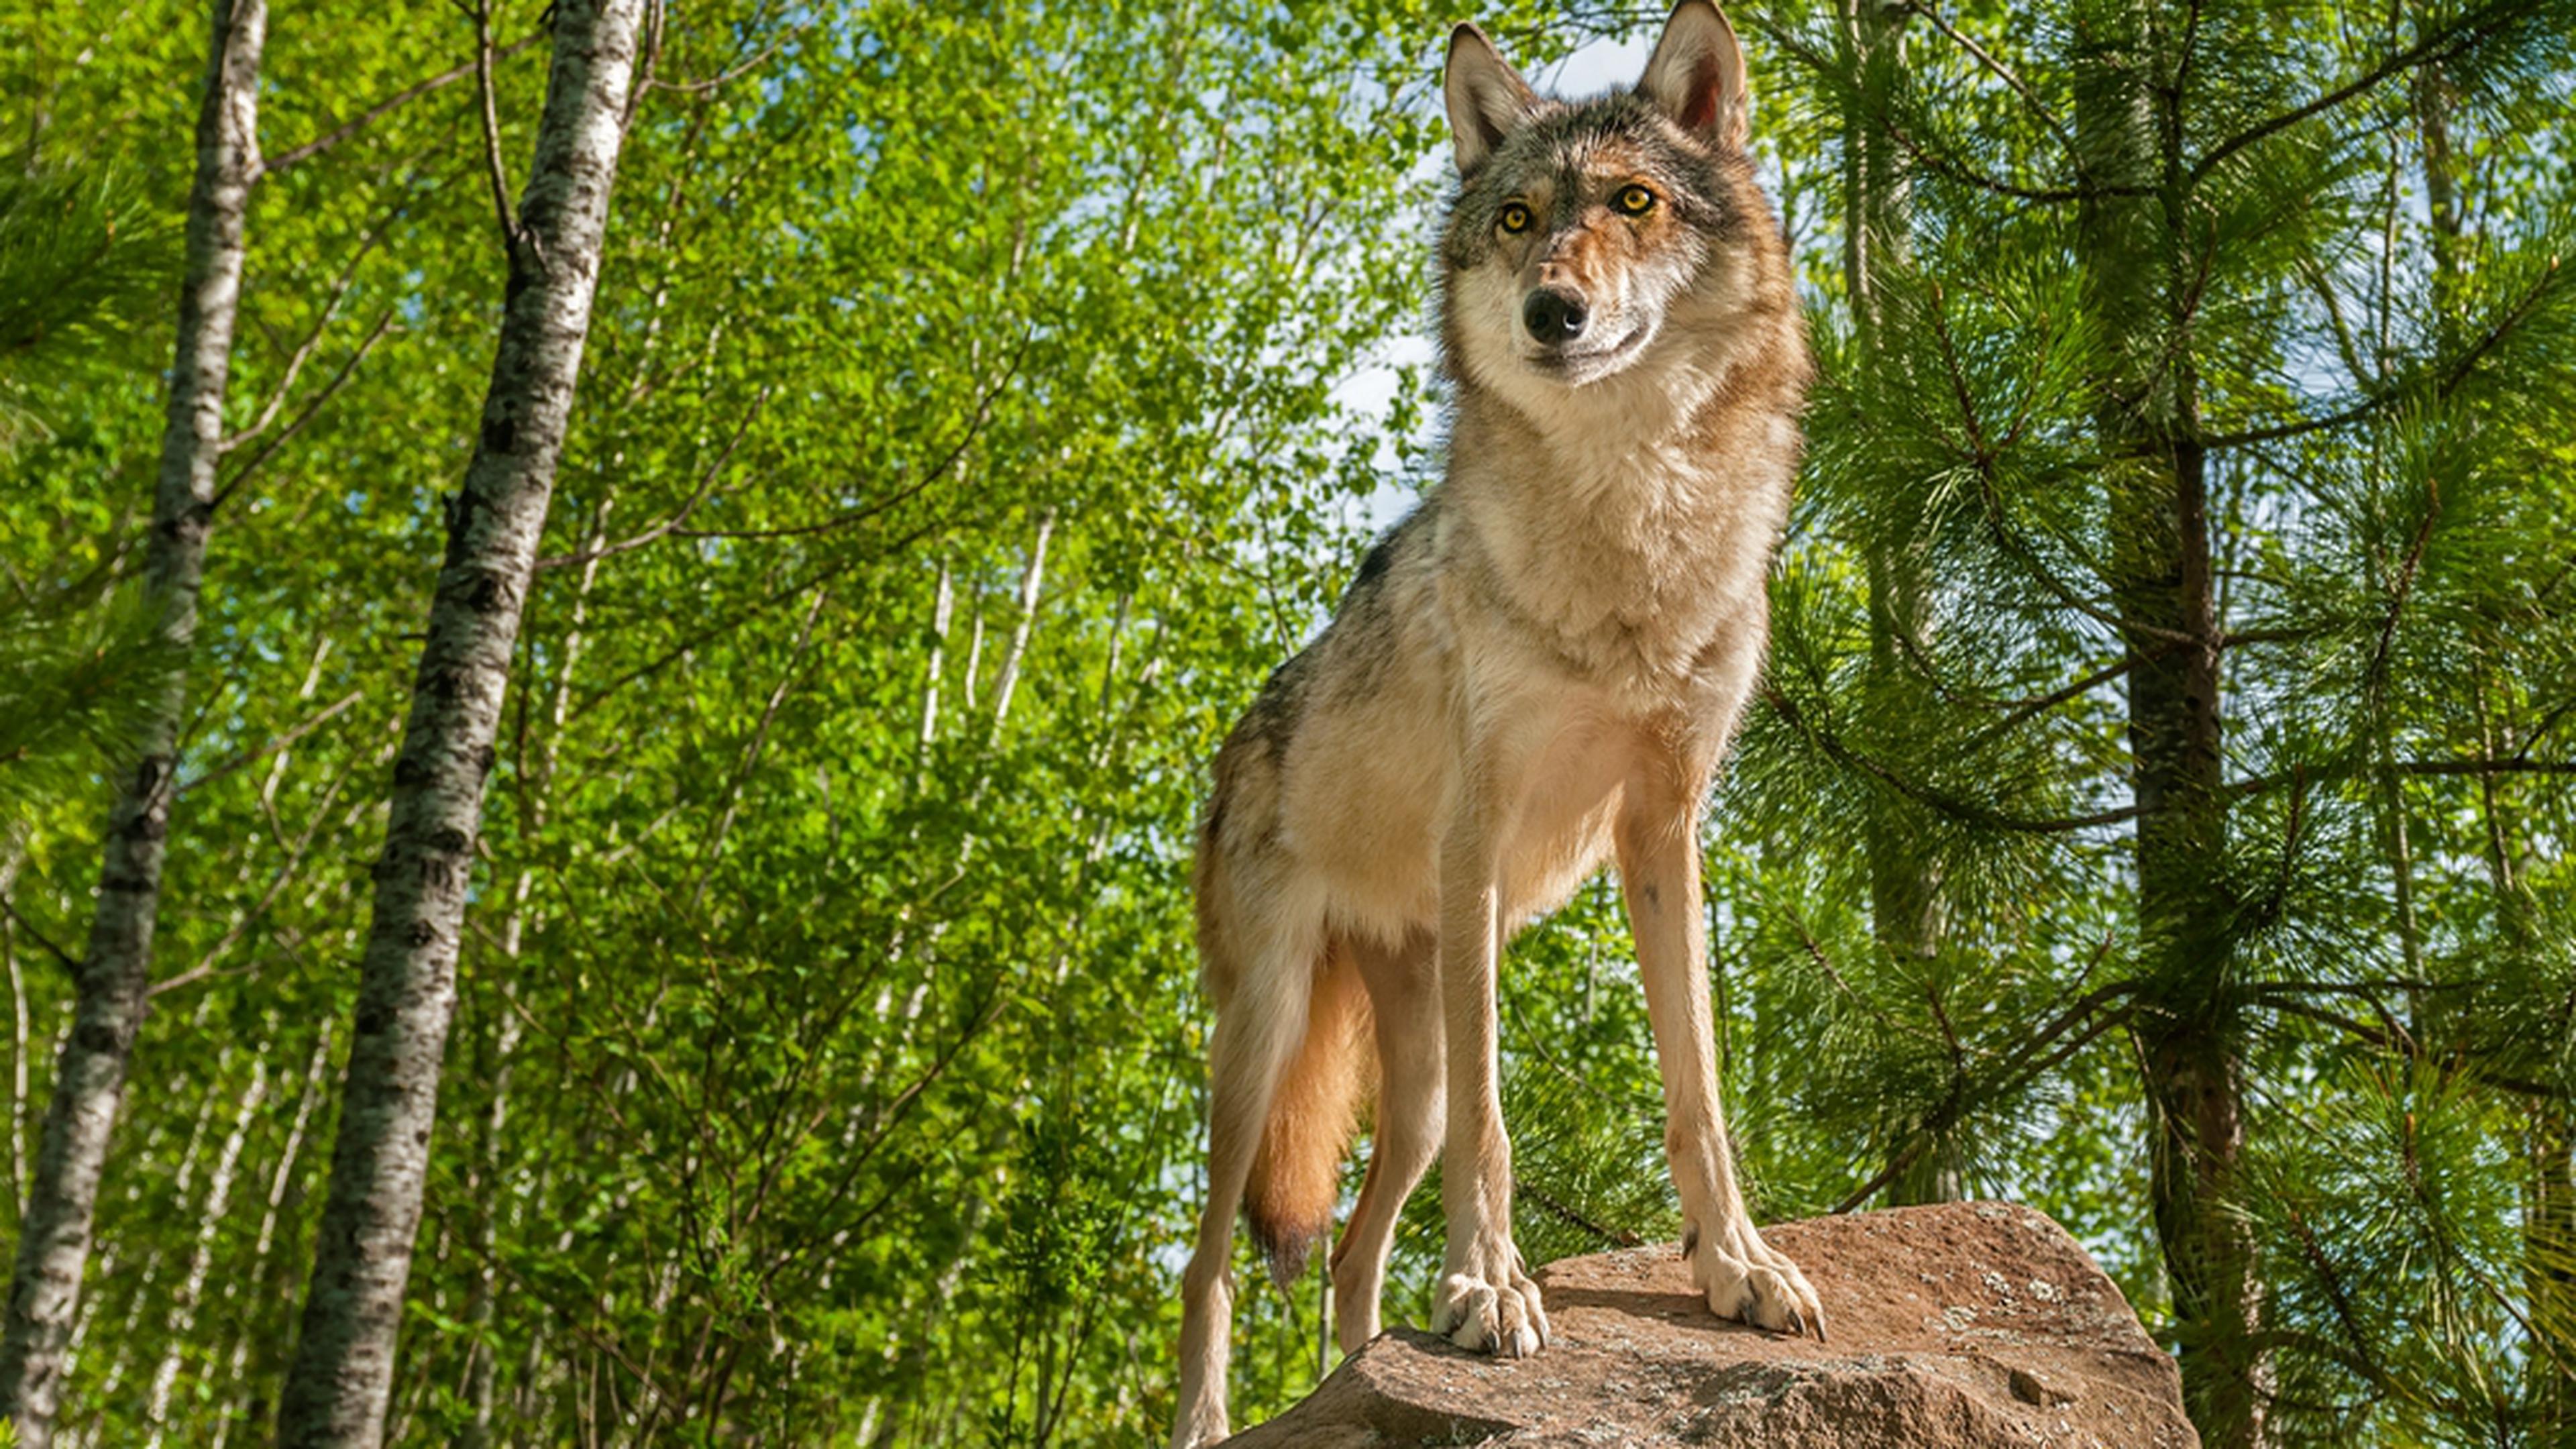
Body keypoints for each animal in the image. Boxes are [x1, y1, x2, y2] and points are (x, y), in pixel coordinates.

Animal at [1179, 5, 1823, 1433]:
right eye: (1521, 218)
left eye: (1634, 203)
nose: (1552, 311)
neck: (1631, 523)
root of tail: (1232, 751)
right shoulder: (1477, 839)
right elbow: (1501, 1118)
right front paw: (1487, 1290)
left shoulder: (1664, 832)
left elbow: (1699, 1091)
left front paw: (1737, 1266)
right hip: (1264, 1047)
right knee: (1209, 1265)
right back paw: (1208, 1422)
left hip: (1400, 1085)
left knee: (1351, 1255)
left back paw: (1365, 1370)